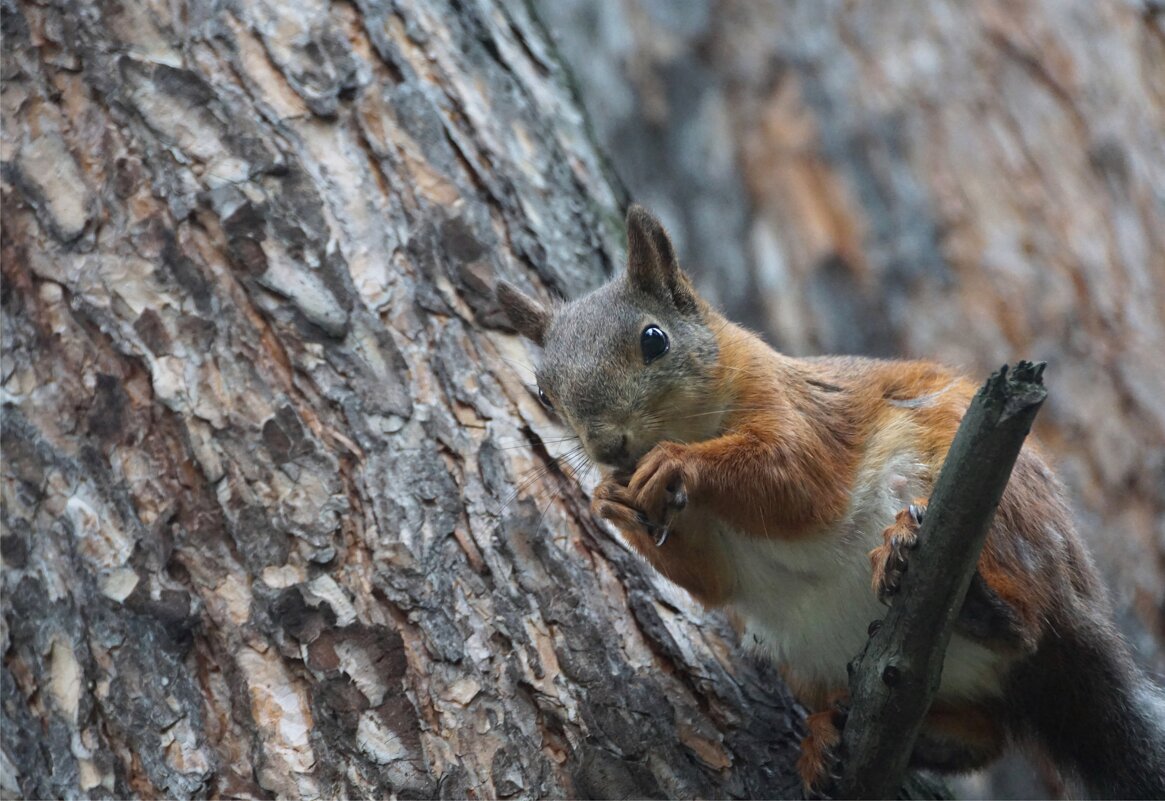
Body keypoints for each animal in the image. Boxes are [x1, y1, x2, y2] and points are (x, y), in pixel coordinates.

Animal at [496, 204, 1165, 796]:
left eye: (654, 340)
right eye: (544, 393)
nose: (608, 448)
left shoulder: (801, 413)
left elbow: (796, 479)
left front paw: (677, 463)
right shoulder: (715, 554)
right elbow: (711, 580)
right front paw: (614, 502)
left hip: (1003, 515)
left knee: (1026, 626)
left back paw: (969, 597)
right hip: (807, 655)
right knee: (985, 734)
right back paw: (845, 733)